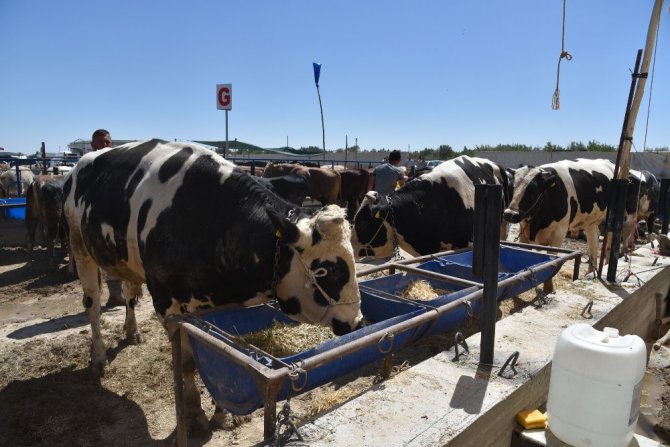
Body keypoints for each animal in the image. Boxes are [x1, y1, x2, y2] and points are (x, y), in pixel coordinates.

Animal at [64, 141, 362, 434]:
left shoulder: (221, 303)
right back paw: (98, 359)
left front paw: (223, 413)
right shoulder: (167, 305)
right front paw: (195, 413)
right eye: (328, 269)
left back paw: (131, 331)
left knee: (130, 293)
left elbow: (221, 351)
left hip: (122, 256)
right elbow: (187, 362)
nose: (356, 321)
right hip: (79, 245)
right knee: (92, 306)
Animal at [504, 159, 616, 292]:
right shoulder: (524, 234)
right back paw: (590, 273)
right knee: (594, 241)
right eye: (511, 187)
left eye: (533, 190)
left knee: (610, 241)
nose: (510, 214)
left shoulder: (559, 233)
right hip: (590, 222)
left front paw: (548, 288)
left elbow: (552, 260)